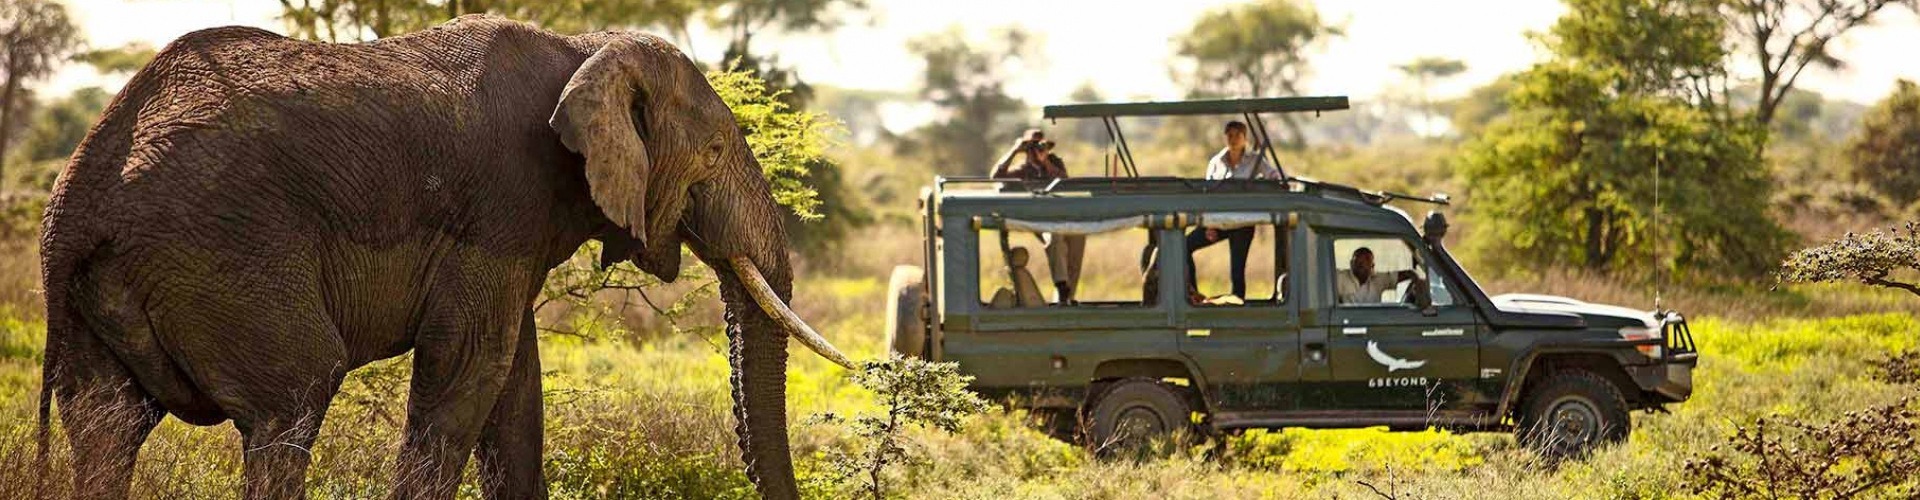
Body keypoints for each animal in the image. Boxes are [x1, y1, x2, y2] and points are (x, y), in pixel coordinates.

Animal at [31, 13, 848, 496]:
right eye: (712, 154)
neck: (587, 53)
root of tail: (77, 199)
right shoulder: (499, 205)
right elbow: (470, 370)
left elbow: (515, 387)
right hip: (220, 253)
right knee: (292, 397)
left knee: (106, 425)